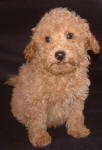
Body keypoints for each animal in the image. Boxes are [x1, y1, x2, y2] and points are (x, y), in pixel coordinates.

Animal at [8, 7, 100, 146]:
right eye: (47, 39)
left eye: (70, 35)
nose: (60, 54)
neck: (60, 76)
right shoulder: (36, 100)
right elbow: (37, 121)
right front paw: (40, 138)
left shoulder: (77, 97)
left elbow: (76, 115)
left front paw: (77, 130)